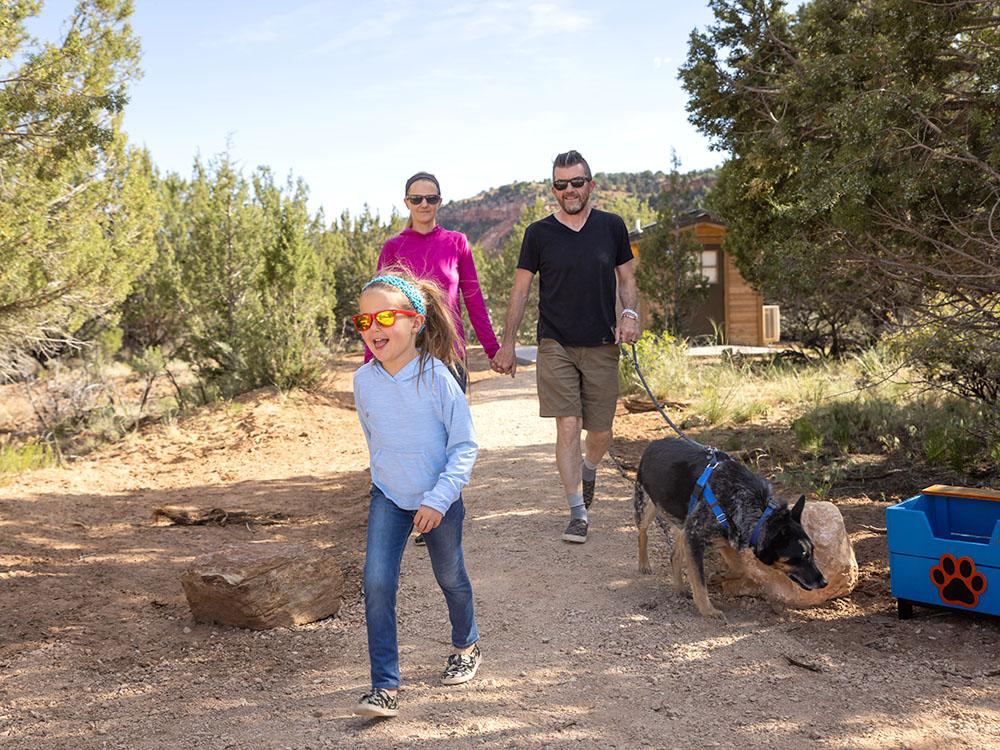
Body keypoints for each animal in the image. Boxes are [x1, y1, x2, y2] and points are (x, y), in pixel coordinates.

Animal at [636, 438, 824, 620]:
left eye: (813, 552)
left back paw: (680, 588)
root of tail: (655, 443)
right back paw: (644, 564)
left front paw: (718, 577)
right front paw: (707, 611)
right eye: (802, 556)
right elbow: (699, 581)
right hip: (645, 507)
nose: (824, 582)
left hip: (684, 524)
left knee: (674, 555)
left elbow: (740, 569)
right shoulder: (696, 538)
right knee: (642, 533)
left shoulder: (725, 539)